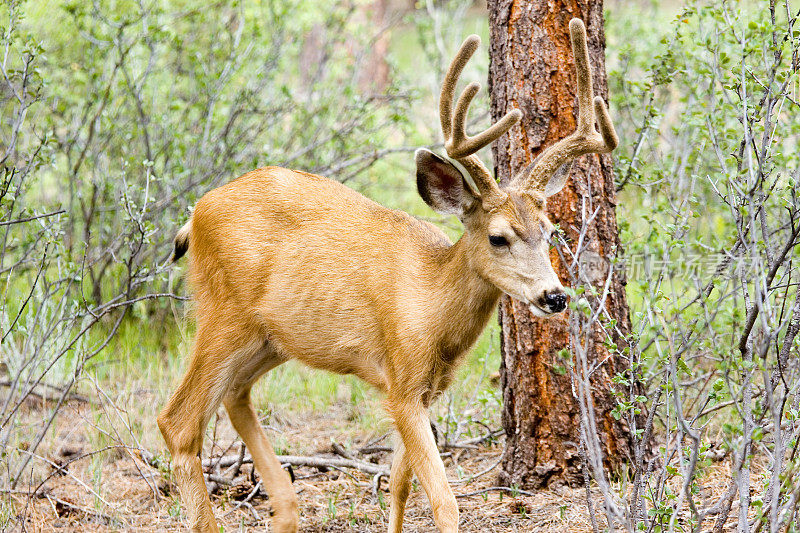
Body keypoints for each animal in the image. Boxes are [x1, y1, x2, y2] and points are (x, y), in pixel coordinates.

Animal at [158, 17, 620, 532]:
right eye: (498, 237)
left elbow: (399, 487)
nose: (554, 296)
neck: (434, 305)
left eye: (550, 231)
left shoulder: (425, 389)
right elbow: (443, 499)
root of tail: (195, 214)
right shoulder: (401, 379)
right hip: (224, 313)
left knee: (236, 395)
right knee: (178, 422)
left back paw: (286, 505)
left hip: (271, 338)